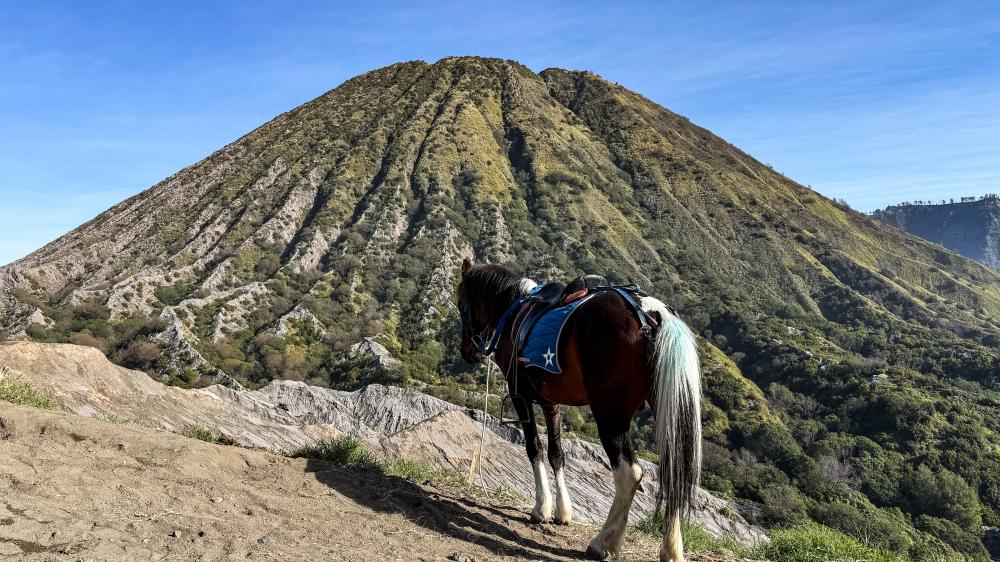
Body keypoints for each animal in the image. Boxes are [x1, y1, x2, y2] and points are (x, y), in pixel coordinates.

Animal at [457, 259, 702, 562]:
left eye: (460, 303)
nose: (467, 352)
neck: (514, 311)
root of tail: (651, 313)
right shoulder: (551, 403)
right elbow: (556, 454)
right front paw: (563, 511)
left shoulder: (520, 396)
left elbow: (534, 448)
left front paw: (542, 508)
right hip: (665, 411)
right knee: (674, 474)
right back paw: (671, 550)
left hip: (610, 414)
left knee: (629, 474)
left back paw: (603, 543)